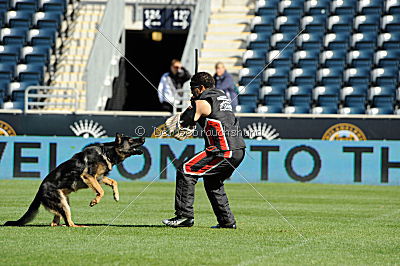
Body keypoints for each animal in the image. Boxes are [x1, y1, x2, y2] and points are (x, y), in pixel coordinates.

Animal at [4, 133, 145, 227]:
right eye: (131, 140)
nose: (143, 138)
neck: (107, 153)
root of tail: (39, 191)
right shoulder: (89, 176)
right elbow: (101, 191)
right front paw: (94, 201)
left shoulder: (99, 178)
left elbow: (113, 182)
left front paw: (116, 196)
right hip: (62, 203)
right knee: (69, 223)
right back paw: (80, 226)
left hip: (64, 201)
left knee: (56, 222)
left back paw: (60, 225)